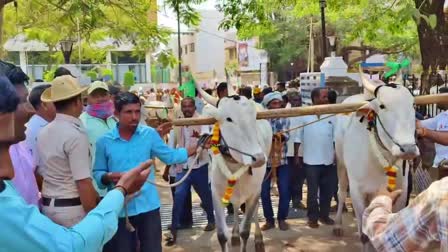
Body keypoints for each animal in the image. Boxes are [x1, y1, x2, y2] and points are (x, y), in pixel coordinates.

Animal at [197, 83, 272, 252]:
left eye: (254, 118)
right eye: (229, 119)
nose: (258, 158)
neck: (233, 163)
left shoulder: (254, 192)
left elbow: (246, 231)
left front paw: (246, 236)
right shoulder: (215, 194)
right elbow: (221, 235)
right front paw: (231, 237)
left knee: (253, 211)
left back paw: (258, 240)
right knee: (236, 207)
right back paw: (235, 236)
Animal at [332, 71, 420, 252]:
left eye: (413, 105)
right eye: (382, 106)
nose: (408, 149)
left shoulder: (401, 194)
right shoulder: (357, 192)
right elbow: (364, 236)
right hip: (341, 164)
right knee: (341, 192)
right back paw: (337, 224)